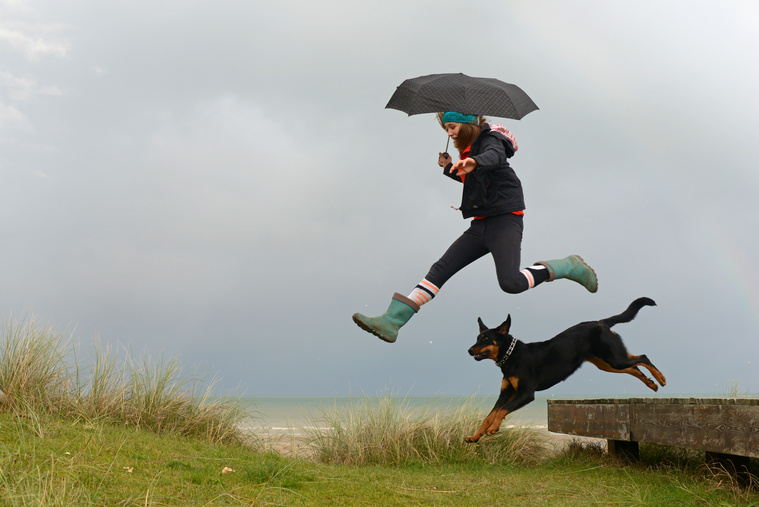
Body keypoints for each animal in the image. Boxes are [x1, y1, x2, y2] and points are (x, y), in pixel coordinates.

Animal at [466, 298, 668, 444]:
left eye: (485, 338)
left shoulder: (525, 393)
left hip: (613, 359)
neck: (512, 356)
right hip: (607, 362)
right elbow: (489, 415)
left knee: (643, 357)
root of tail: (601, 323)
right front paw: (475, 436)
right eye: (477, 337)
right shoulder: (506, 393)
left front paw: (493, 429)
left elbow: (501, 411)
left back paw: (660, 378)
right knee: (634, 366)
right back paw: (651, 383)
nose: (469, 350)